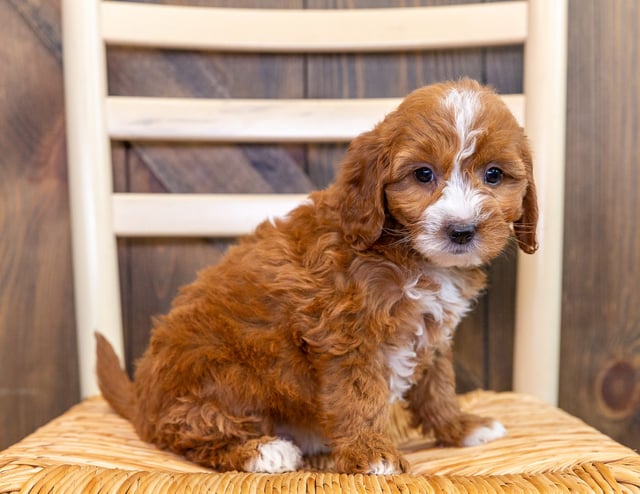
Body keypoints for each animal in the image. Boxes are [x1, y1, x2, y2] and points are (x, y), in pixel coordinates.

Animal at [96, 79, 536, 476]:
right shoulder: (344, 331)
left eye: (493, 175)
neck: (406, 252)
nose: (461, 230)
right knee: (183, 430)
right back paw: (260, 451)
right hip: (217, 369)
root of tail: (142, 401)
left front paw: (460, 427)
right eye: (423, 175)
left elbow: (438, 385)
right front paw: (371, 451)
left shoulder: (433, 330)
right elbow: (358, 395)